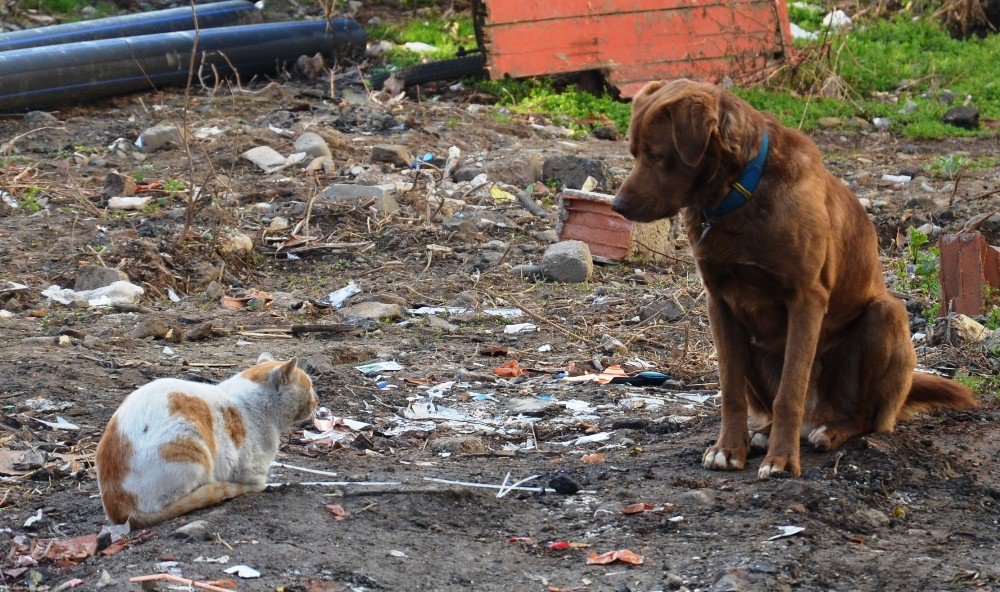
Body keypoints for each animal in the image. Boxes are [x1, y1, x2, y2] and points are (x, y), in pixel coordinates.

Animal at [94, 352, 316, 528]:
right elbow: (255, 479)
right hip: (191, 446)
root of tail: (117, 509)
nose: (317, 400)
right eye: (310, 387)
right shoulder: (250, 468)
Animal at [612, 80, 980, 476]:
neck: (739, 197)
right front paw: (728, 449)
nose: (617, 206)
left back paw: (829, 431)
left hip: (886, 317)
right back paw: (762, 434)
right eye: (634, 153)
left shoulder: (806, 298)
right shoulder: (719, 303)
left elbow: (790, 391)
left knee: (865, 416)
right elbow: (730, 390)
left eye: (657, 155)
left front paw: (782, 460)